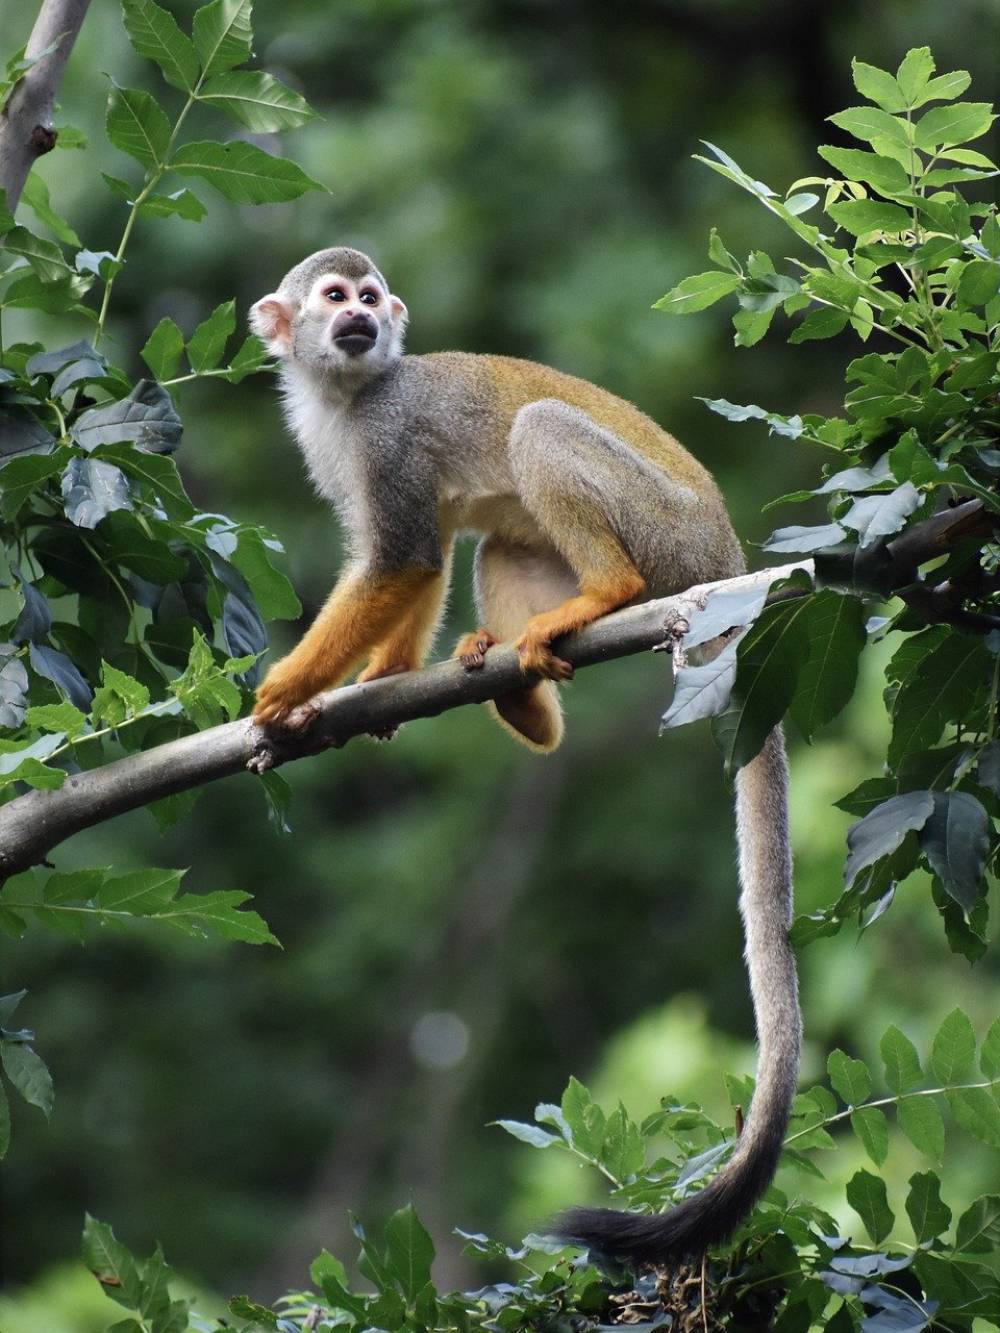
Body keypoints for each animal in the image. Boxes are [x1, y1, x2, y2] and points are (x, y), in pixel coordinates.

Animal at [254, 251, 805, 1269]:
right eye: (333, 300)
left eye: (366, 298)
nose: (362, 324)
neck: (350, 394)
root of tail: (728, 561)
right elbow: (423, 558)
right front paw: (376, 684)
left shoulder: (387, 436)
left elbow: (401, 558)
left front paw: (284, 690)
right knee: (500, 542)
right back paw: (521, 698)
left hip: (665, 531)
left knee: (540, 429)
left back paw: (606, 594)